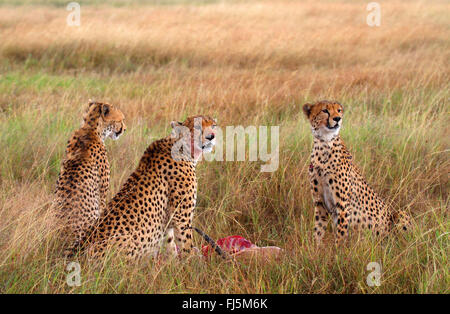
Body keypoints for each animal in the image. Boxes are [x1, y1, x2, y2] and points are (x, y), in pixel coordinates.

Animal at [87, 114, 218, 258]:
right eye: (198, 127)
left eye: (213, 126)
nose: (211, 136)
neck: (183, 148)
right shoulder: (181, 219)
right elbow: (186, 246)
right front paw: (193, 262)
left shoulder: (167, 224)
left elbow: (170, 246)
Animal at [302, 99, 412, 244]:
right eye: (325, 110)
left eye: (339, 110)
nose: (338, 119)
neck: (324, 144)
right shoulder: (320, 205)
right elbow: (318, 231)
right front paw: (315, 249)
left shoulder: (343, 206)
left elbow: (340, 237)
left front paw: (338, 250)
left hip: (400, 214)